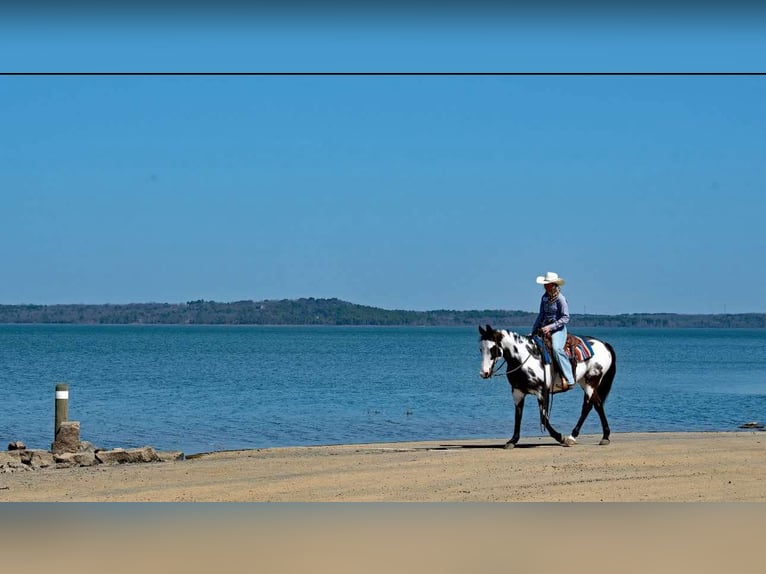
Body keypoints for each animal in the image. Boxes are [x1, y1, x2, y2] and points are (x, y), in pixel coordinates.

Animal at [478, 324, 617, 448]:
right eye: (480, 349)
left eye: (493, 349)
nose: (484, 373)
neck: (525, 358)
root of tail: (604, 344)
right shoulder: (517, 392)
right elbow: (518, 416)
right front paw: (512, 440)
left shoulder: (541, 392)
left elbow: (543, 417)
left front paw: (560, 437)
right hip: (585, 382)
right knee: (597, 404)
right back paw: (602, 436)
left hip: (591, 382)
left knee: (589, 406)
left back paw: (574, 437)